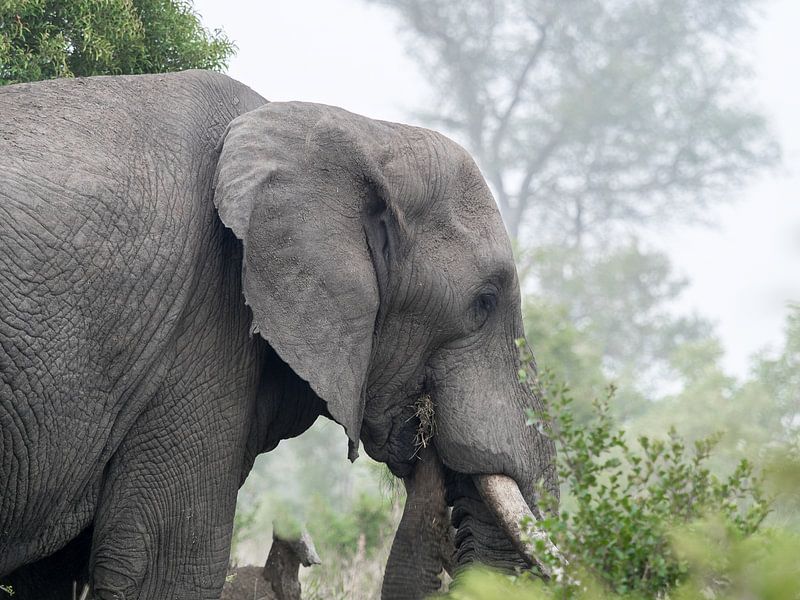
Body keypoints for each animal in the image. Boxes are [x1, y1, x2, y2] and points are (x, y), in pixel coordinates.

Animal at [0, 68, 560, 596]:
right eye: (483, 303)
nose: (425, 433)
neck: (358, 133)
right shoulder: (206, 319)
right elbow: (169, 570)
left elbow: (53, 574)